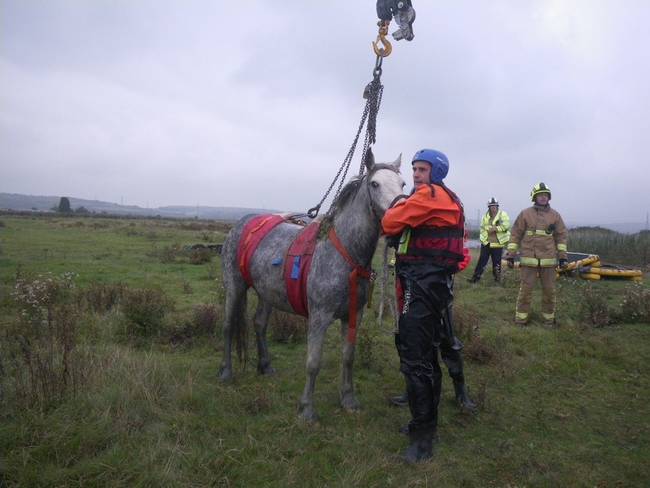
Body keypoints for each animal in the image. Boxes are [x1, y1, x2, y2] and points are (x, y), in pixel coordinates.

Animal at [220, 151, 402, 422]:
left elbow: (348, 357)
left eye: (403, 184)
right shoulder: (319, 317)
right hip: (235, 286)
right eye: (375, 184)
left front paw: (348, 400)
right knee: (229, 326)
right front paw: (306, 410)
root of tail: (242, 223)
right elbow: (313, 362)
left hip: (267, 293)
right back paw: (226, 372)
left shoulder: (353, 315)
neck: (344, 253)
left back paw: (266, 366)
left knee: (259, 324)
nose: (401, 218)